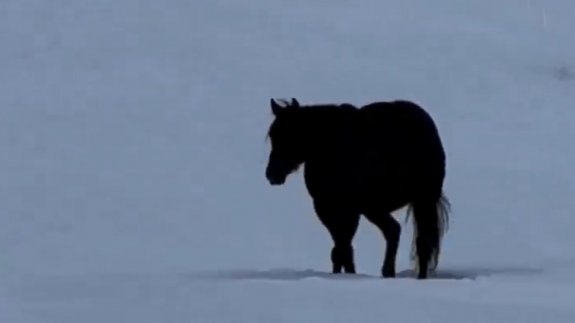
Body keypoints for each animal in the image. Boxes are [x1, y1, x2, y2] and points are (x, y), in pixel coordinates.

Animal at [264, 97, 450, 280]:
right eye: (272, 134)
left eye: (290, 134)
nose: (272, 174)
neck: (326, 145)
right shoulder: (341, 211)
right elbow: (343, 248)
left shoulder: (334, 209)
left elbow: (341, 248)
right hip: (412, 202)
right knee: (414, 239)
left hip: (391, 204)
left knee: (401, 234)